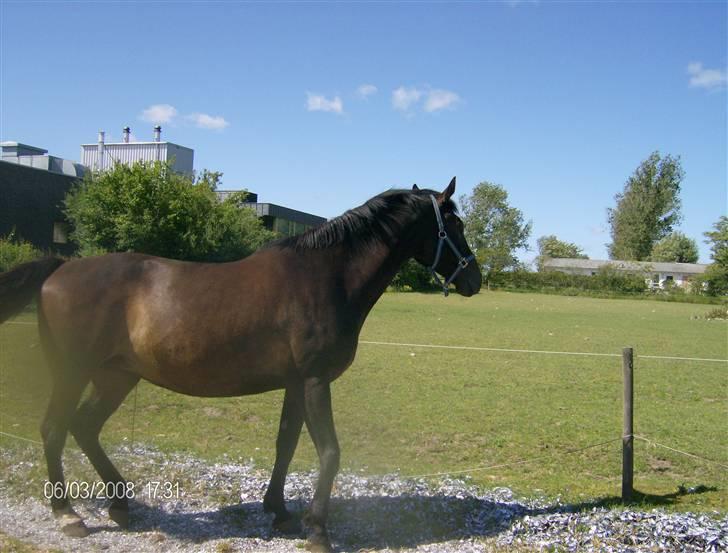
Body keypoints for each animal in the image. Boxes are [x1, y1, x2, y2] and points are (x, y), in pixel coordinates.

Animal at [0, 178, 484, 552]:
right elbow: (329, 452)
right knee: (54, 429)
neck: (324, 278)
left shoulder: (295, 383)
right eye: (455, 224)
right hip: (73, 373)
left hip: (116, 376)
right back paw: (68, 514)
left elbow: (286, 444)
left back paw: (121, 503)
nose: (475, 279)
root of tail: (59, 269)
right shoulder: (315, 380)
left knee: (84, 427)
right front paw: (317, 529)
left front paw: (280, 511)